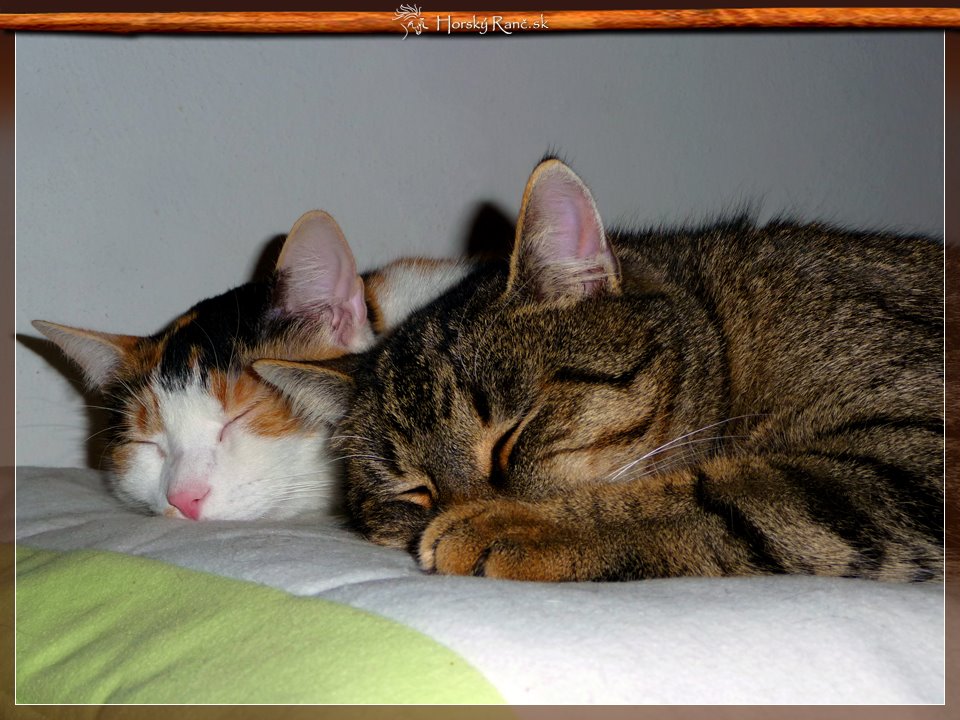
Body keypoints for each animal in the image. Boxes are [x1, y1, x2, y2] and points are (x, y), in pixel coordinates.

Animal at [255, 158, 944, 582]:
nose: (447, 512)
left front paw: (512, 526)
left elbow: (718, 495)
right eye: (412, 491)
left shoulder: (913, 449)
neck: (723, 325)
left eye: (512, 436)